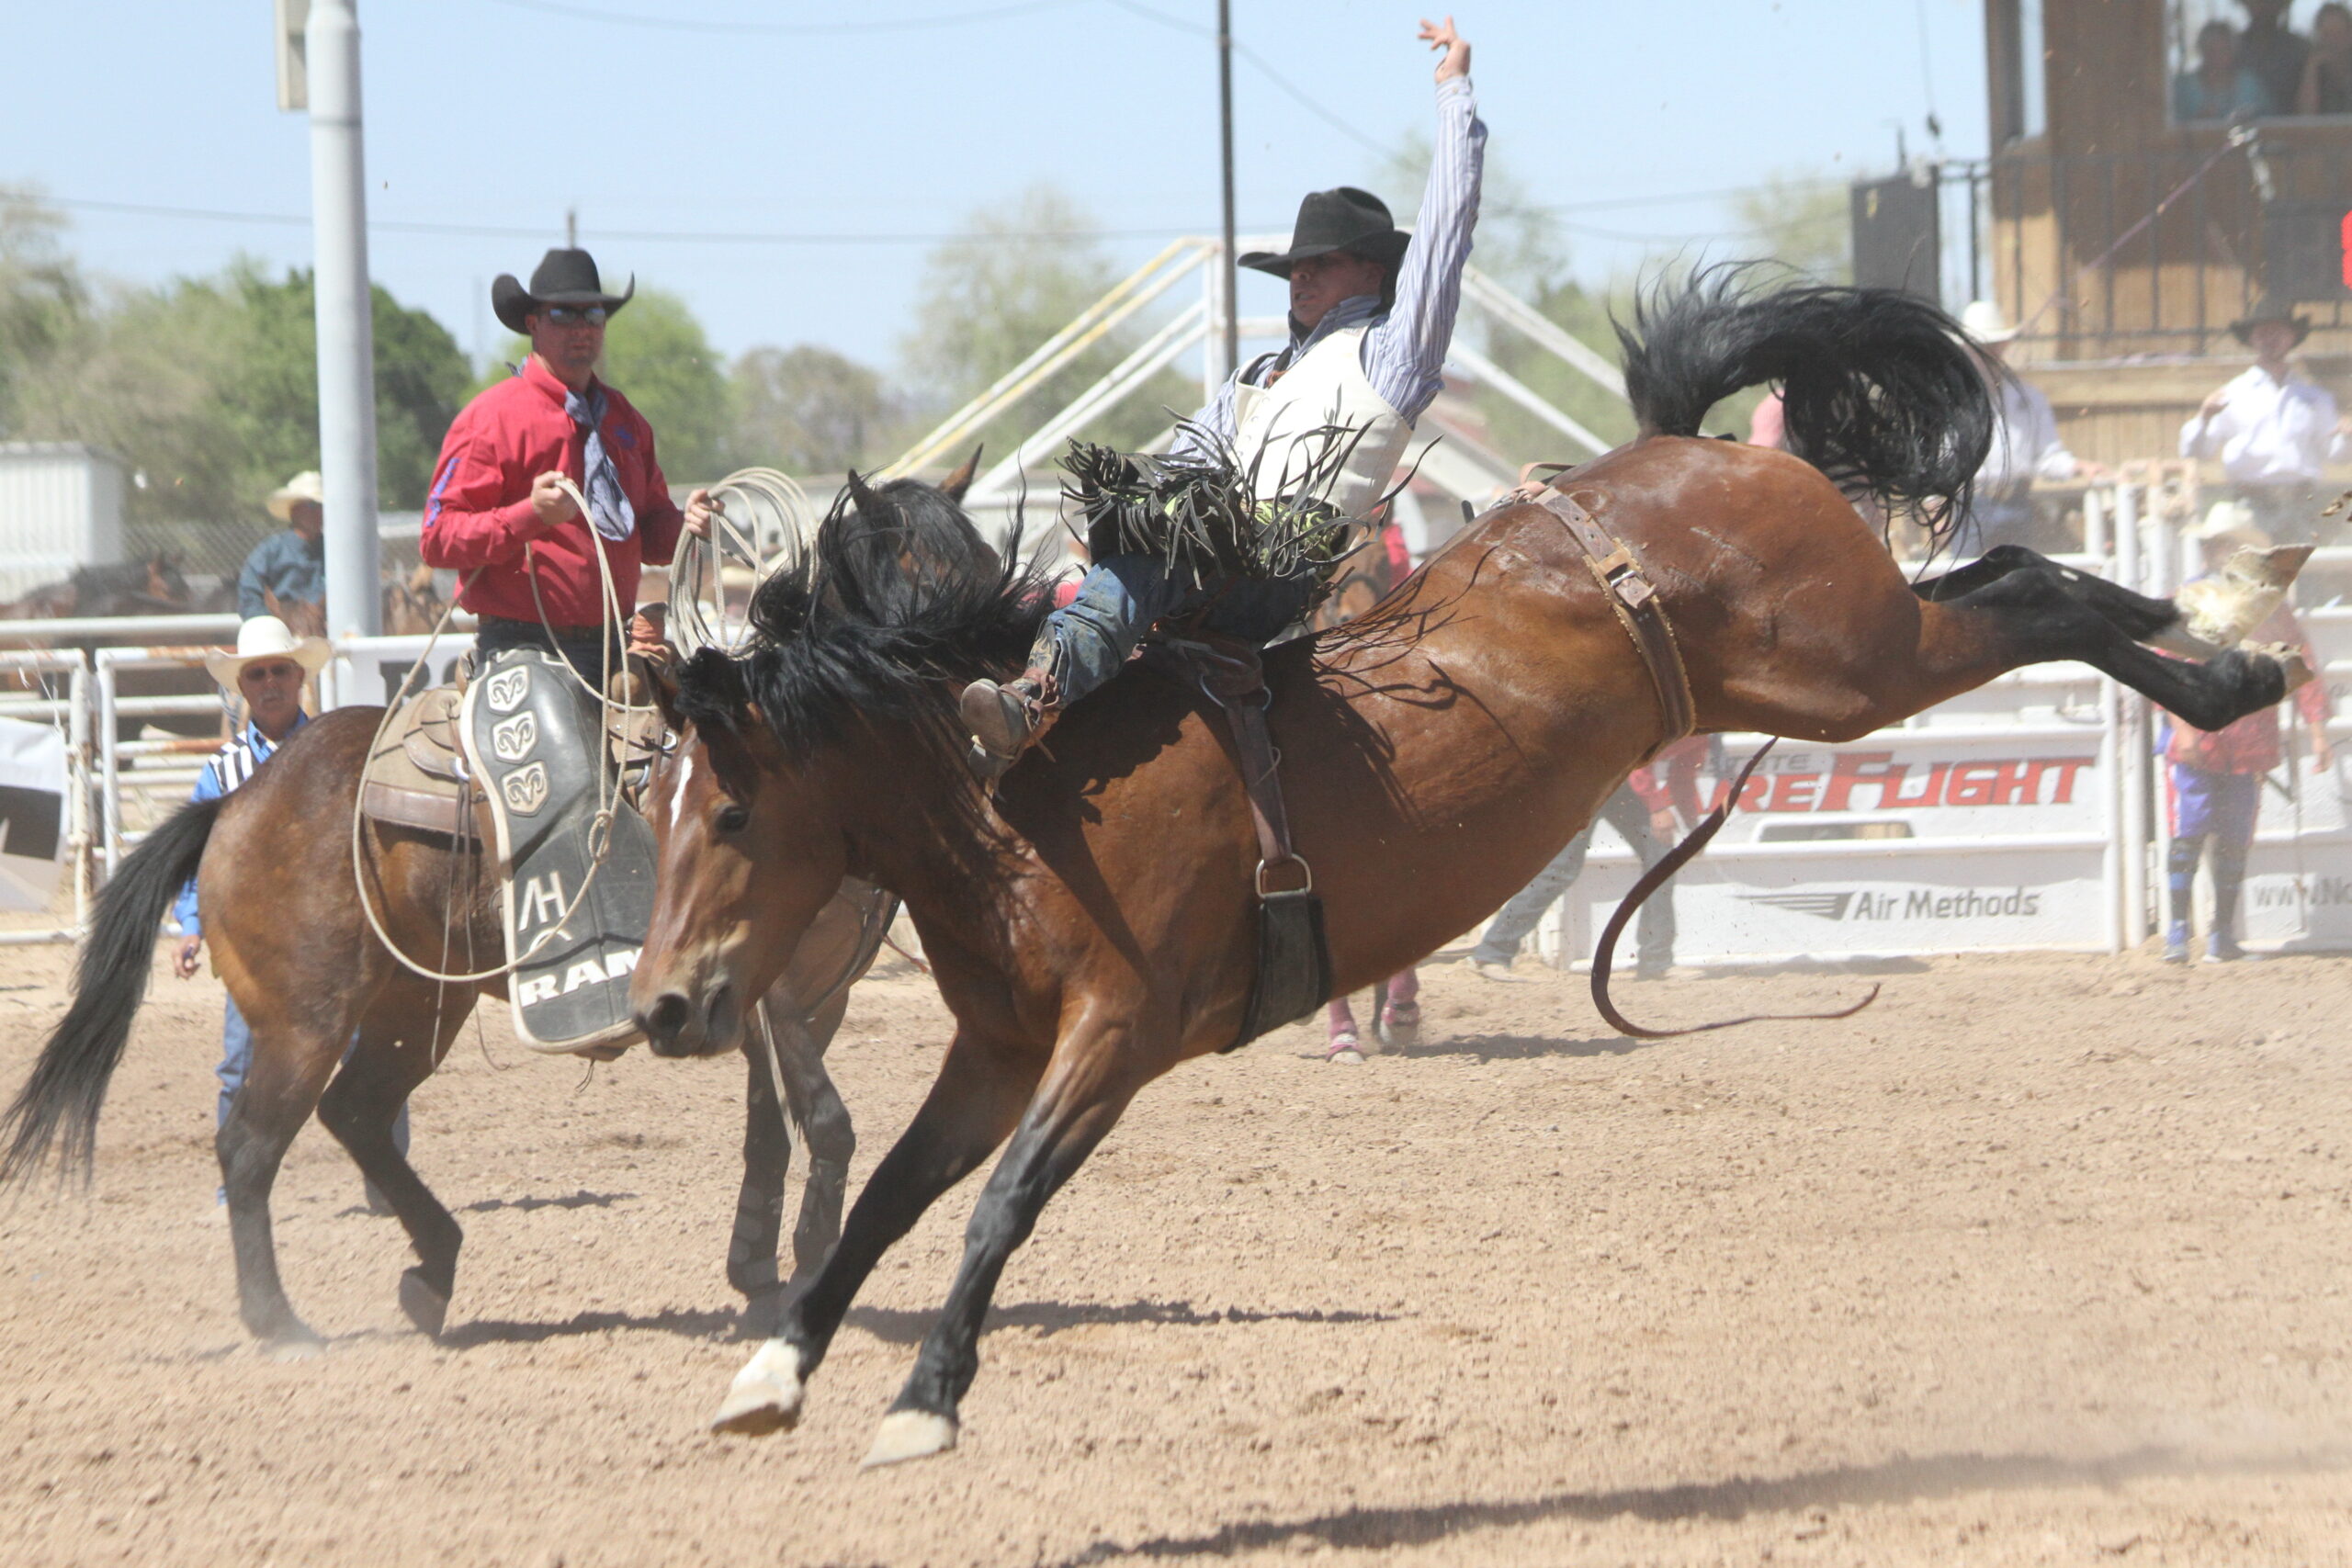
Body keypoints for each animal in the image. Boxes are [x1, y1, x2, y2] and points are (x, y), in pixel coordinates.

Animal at [616, 272, 2304, 1476]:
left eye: (735, 814)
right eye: (656, 806)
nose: (666, 1007)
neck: (1017, 804)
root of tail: (1684, 449)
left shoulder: (1116, 1033)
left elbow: (999, 1206)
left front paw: (923, 1400)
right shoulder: (997, 1047)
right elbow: (890, 1197)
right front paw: (770, 1368)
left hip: (1849, 663)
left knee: (2034, 589)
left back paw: (2237, 660)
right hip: (1837, 666)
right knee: (2012, 577)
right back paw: (2229, 644)